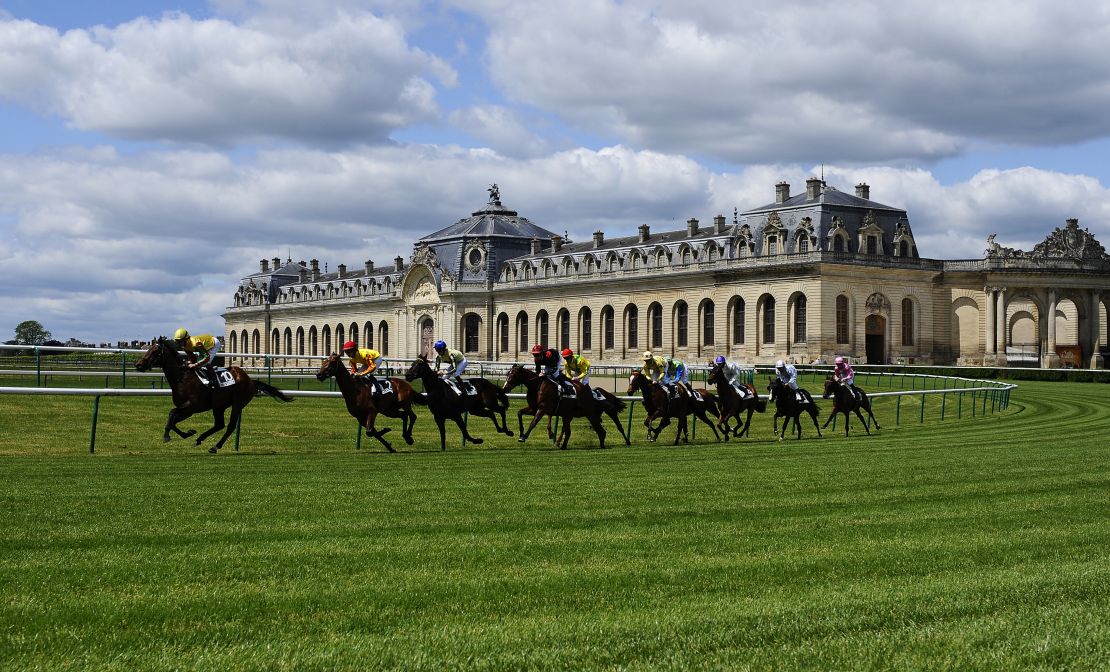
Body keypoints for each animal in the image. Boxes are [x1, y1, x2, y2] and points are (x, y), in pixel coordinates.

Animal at [133, 333, 295, 450]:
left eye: (154, 351)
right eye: (147, 349)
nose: (138, 365)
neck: (182, 377)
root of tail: (250, 381)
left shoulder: (191, 406)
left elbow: (172, 414)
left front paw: (169, 436)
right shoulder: (187, 409)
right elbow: (172, 418)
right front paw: (188, 433)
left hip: (238, 404)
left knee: (230, 426)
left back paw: (215, 446)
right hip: (219, 406)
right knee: (219, 425)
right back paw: (200, 439)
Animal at [501, 364, 630, 448]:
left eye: (513, 375)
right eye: (507, 374)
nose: (504, 388)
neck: (537, 386)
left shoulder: (542, 409)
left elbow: (533, 423)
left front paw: (523, 437)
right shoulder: (534, 408)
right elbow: (519, 413)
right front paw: (521, 433)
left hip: (595, 413)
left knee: (611, 428)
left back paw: (622, 442)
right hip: (572, 414)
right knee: (572, 430)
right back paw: (564, 445)